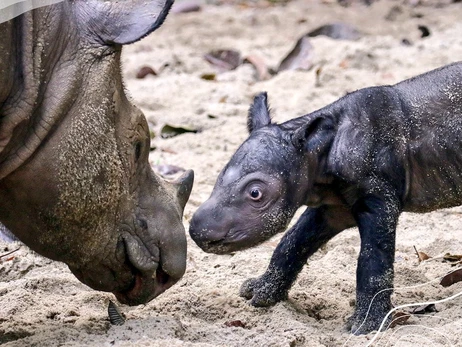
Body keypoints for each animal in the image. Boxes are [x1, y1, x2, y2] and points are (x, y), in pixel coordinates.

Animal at [189, 61, 462, 334]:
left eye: (256, 193)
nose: (198, 232)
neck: (318, 150)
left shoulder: (379, 196)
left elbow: (373, 260)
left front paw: (366, 326)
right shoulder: (333, 205)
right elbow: (293, 241)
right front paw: (261, 293)